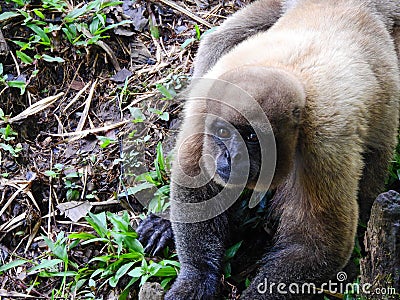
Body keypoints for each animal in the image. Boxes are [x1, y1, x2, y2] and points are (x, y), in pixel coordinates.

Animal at [159, 1, 400, 298]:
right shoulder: (204, 108)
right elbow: (195, 186)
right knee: (218, 42)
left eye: (252, 136)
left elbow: (318, 244)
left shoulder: (324, 145)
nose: (230, 157)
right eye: (223, 133)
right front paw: (197, 275)